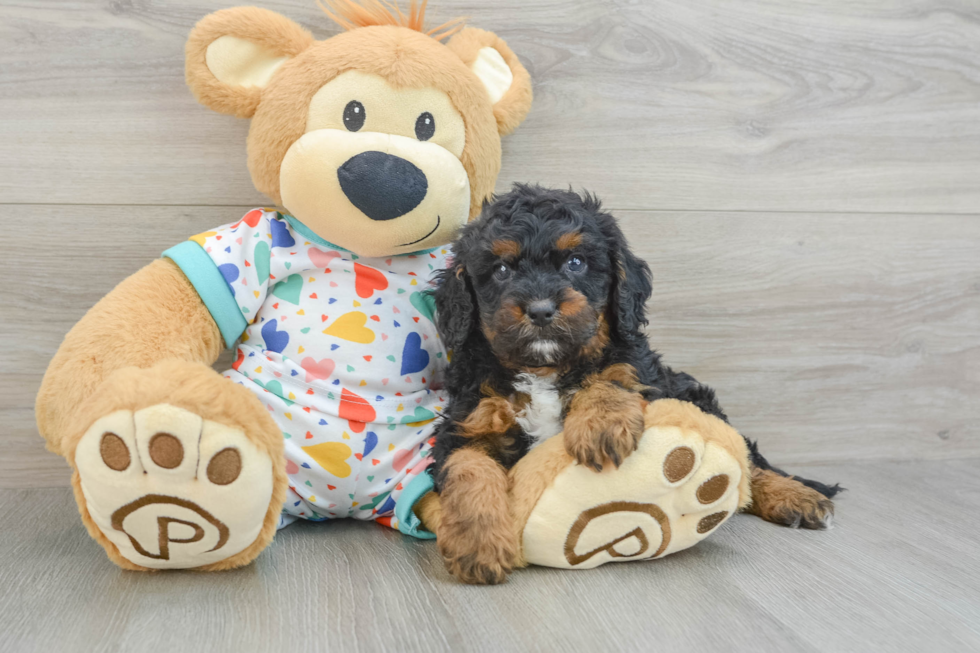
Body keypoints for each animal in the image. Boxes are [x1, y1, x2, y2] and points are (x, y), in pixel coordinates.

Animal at [430, 185, 844, 584]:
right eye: (500, 269)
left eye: (576, 262)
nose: (541, 310)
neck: (545, 369)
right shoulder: (467, 424)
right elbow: (469, 470)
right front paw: (478, 543)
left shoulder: (641, 372)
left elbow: (612, 376)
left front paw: (601, 426)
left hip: (693, 394)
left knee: (747, 459)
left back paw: (796, 496)